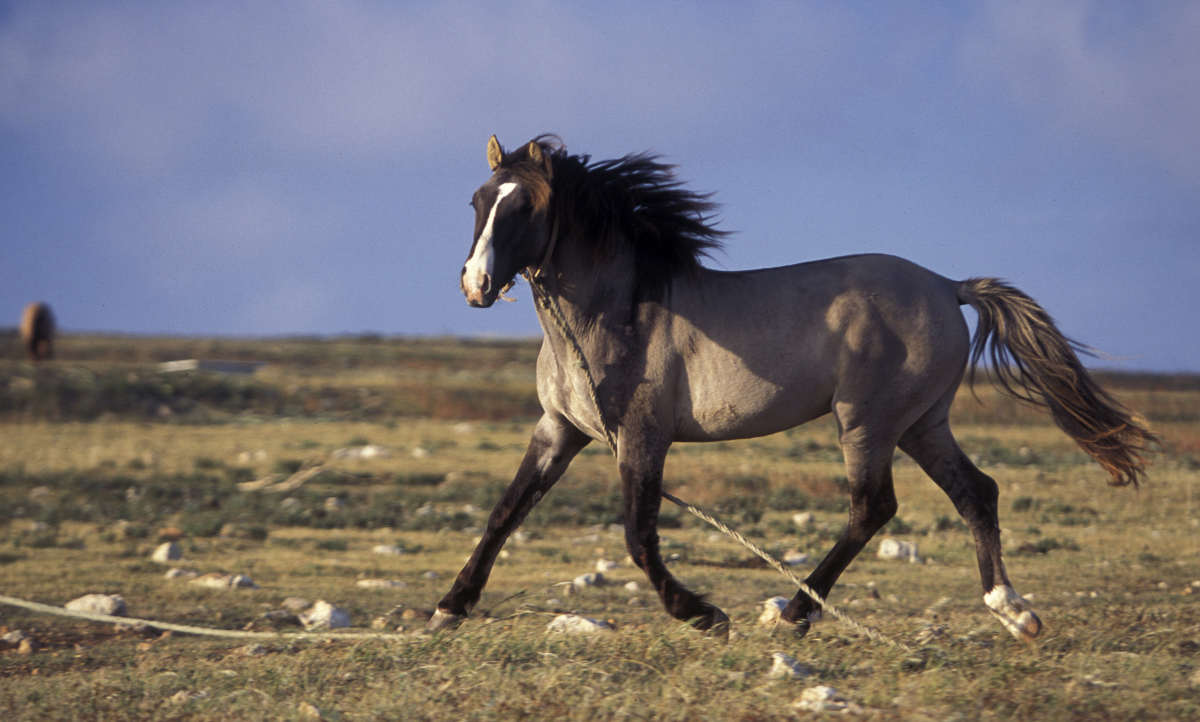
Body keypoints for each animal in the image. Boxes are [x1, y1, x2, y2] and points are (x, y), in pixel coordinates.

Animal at [432, 131, 1152, 638]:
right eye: (476, 201)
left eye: (525, 206)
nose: (474, 285)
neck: (615, 312)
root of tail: (947, 287)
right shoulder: (560, 429)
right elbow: (506, 511)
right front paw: (449, 607)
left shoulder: (641, 436)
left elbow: (638, 537)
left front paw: (704, 615)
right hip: (922, 423)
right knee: (977, 493)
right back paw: (1013, 611)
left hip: (866, 421)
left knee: (873, 508)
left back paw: (794, 613)